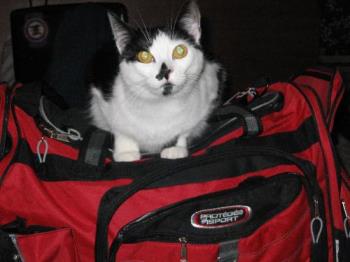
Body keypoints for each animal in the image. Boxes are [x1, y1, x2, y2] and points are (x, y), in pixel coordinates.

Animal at [89, 1, 223, 162]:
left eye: (180, 51)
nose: (165, 72)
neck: (159, 106)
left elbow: (185, 128)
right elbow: (119, 127)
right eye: (144, 56)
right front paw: (126, 152)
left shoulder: (209, 85)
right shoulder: (103, 98)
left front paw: (174, 147)